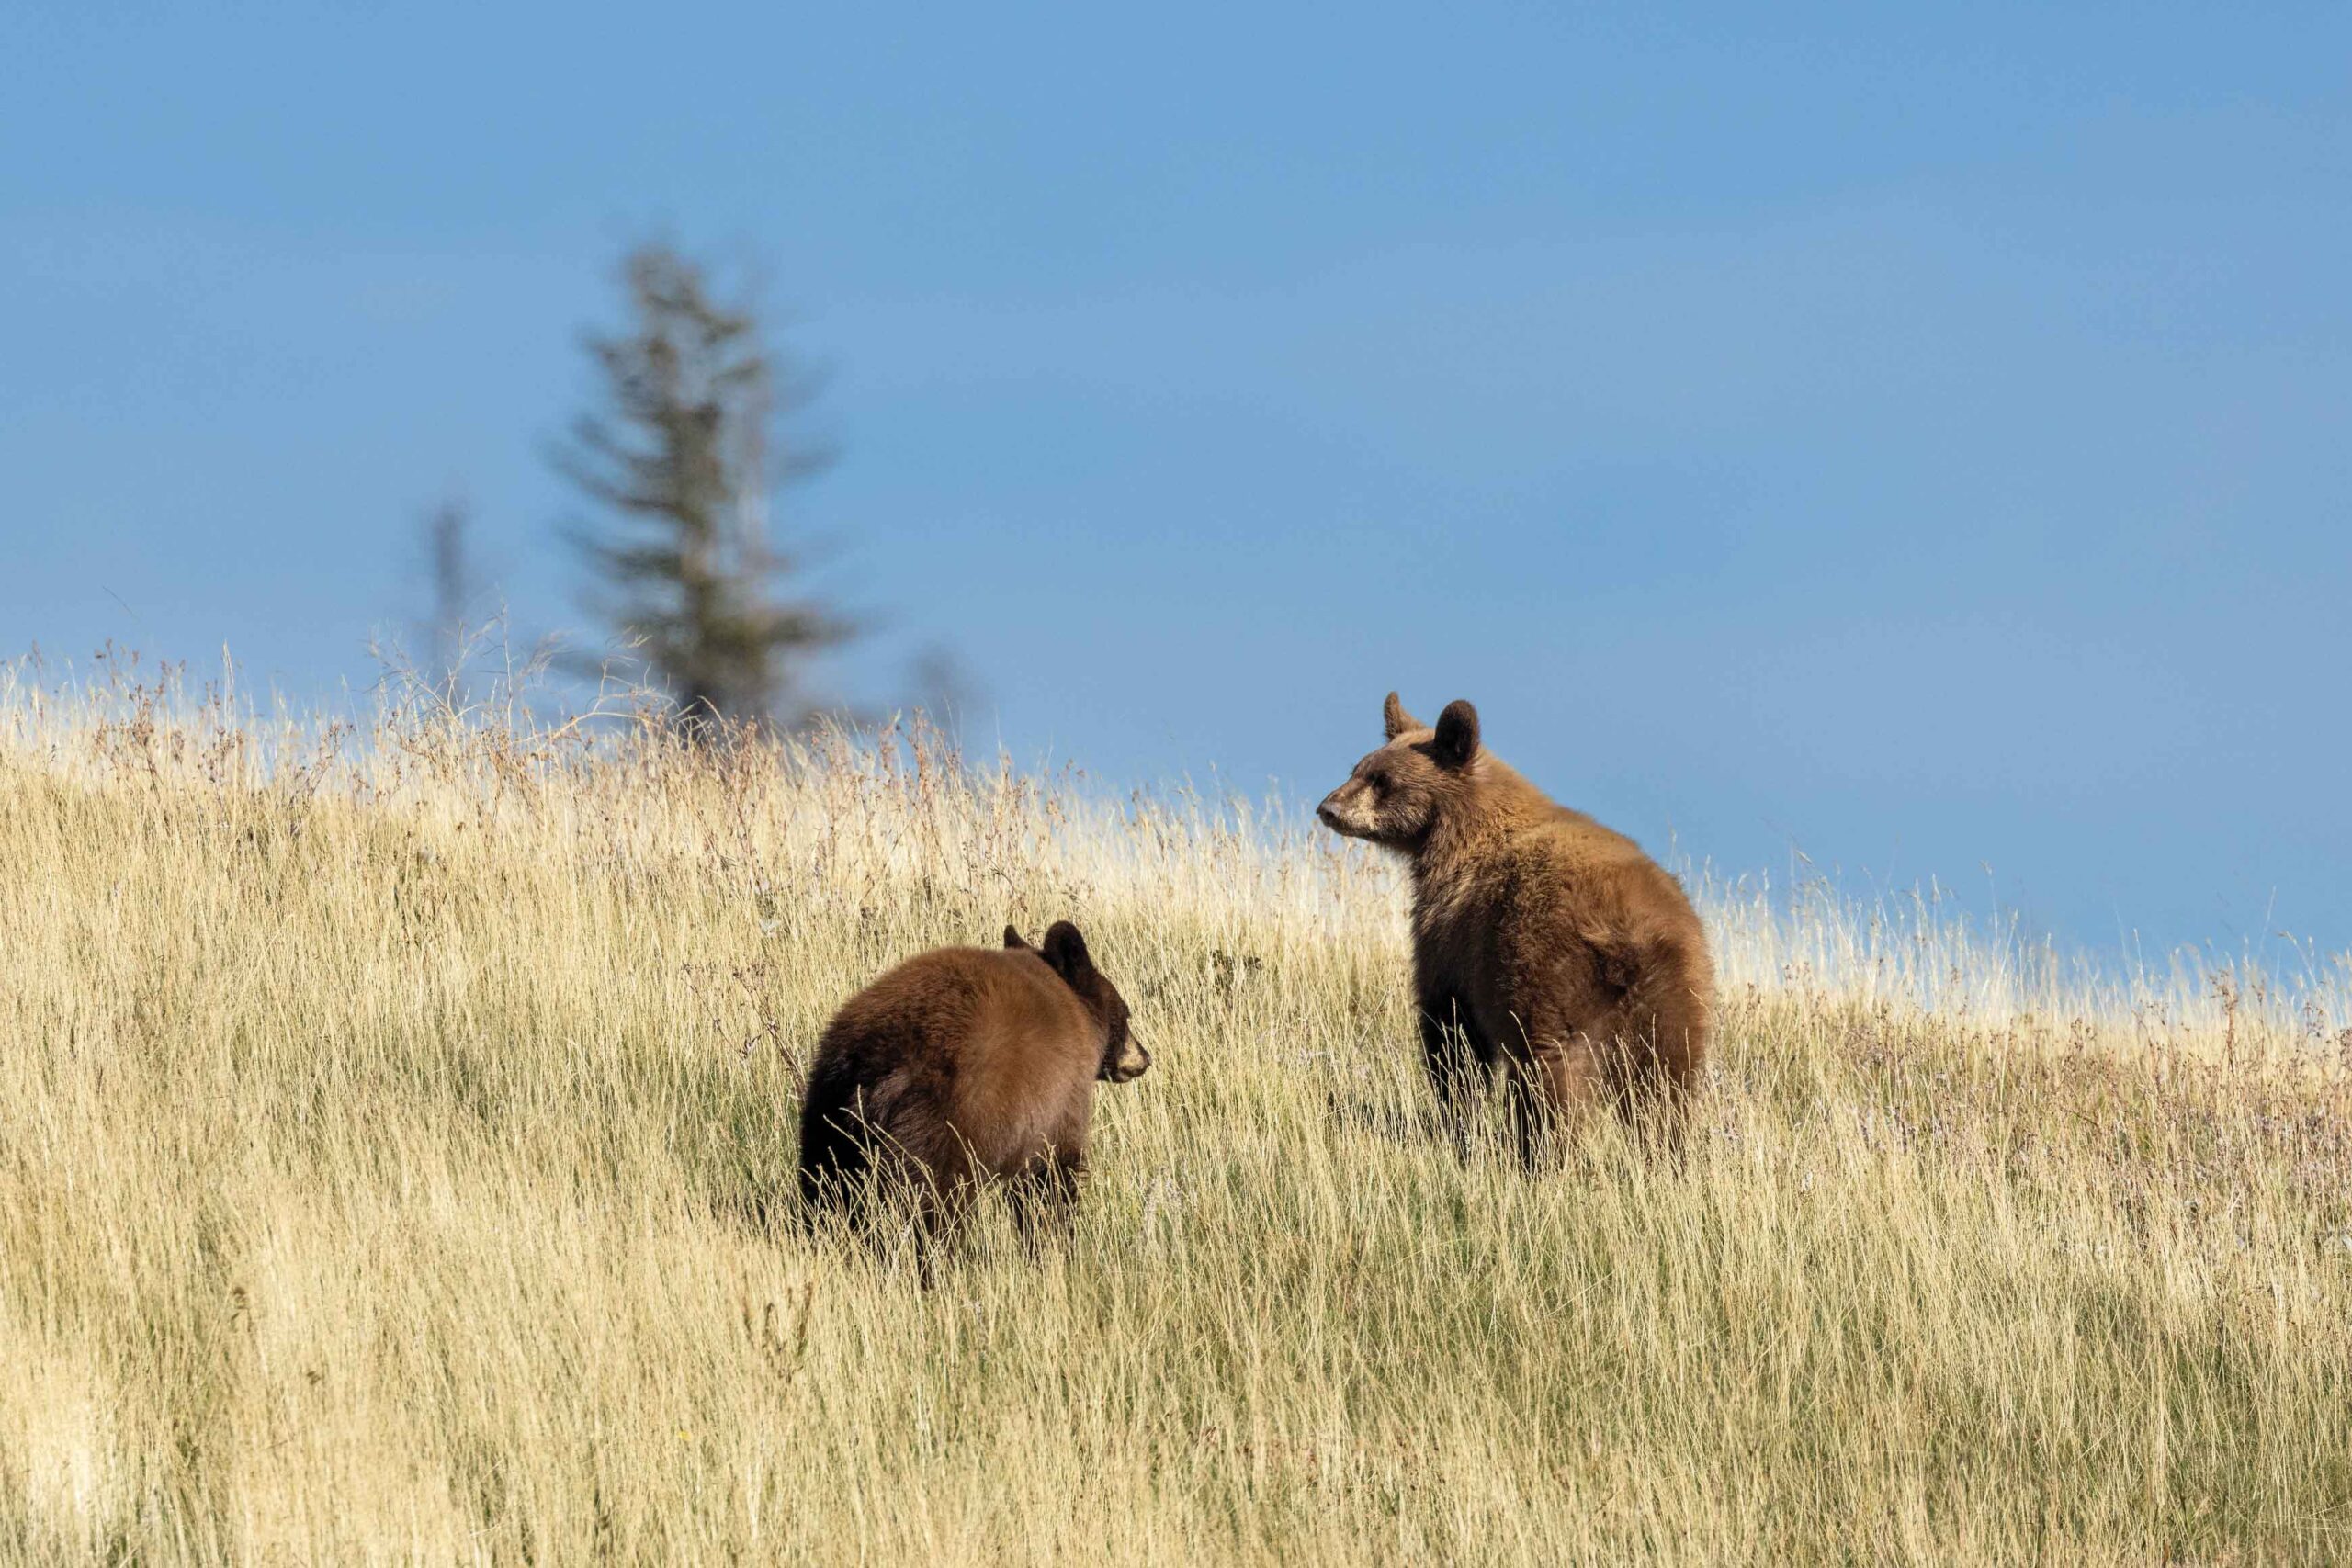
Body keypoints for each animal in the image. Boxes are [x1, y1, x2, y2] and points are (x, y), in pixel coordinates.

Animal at [796, 921, 1149, 1247]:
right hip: (944, 1121)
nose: (1145, 1057)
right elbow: (1050, 1179)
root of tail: (877, 1059)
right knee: (930, 1202)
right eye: (1127, 1014)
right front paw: (1054, 1243)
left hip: (826, 1110)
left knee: (827, 1187)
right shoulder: (1058, 1102)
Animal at [1316, 693, 1713, 1155]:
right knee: (1666, 1083)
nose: (1329, 808)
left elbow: (1450, 1028)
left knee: (1551, 1073)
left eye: (1382, 780)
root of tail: (1625, 930)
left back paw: (1541, 1151)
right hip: (1673, 993)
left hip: (1544, 972)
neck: (1458, 831)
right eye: (1358, 768)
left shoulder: (1452, 931)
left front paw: (1456, 1116)